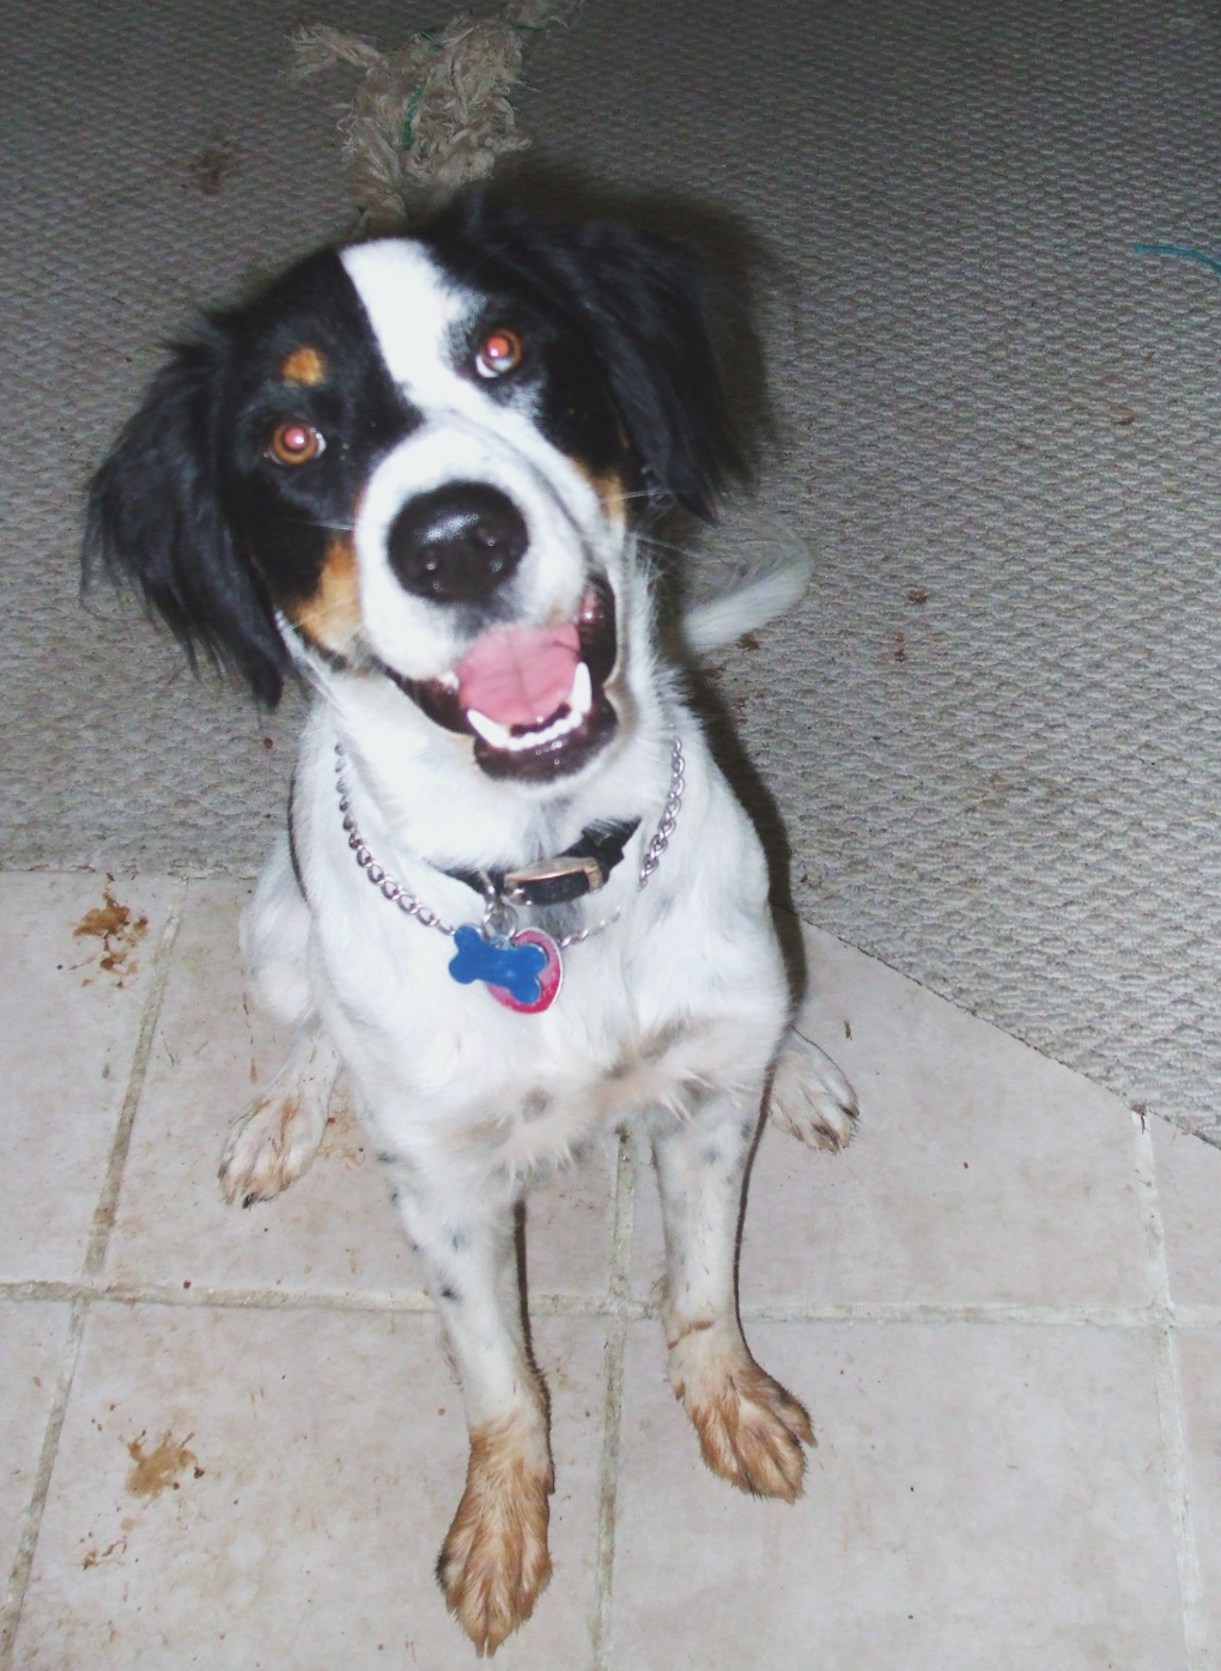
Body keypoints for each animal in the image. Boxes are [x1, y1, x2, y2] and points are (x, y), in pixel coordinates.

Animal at [83, 195, 861, 1657]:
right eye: (291, 439)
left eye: (502, 349)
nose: (456, 538)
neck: (543, 874)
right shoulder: (443, 1191)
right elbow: (498, 1375)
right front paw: (502, 1525)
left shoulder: (699, 1103)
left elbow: (700, 1287)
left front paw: (729, 1400)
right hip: (273, 942)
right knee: (312, 1032)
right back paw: (284, 1113)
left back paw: (803, 1070)